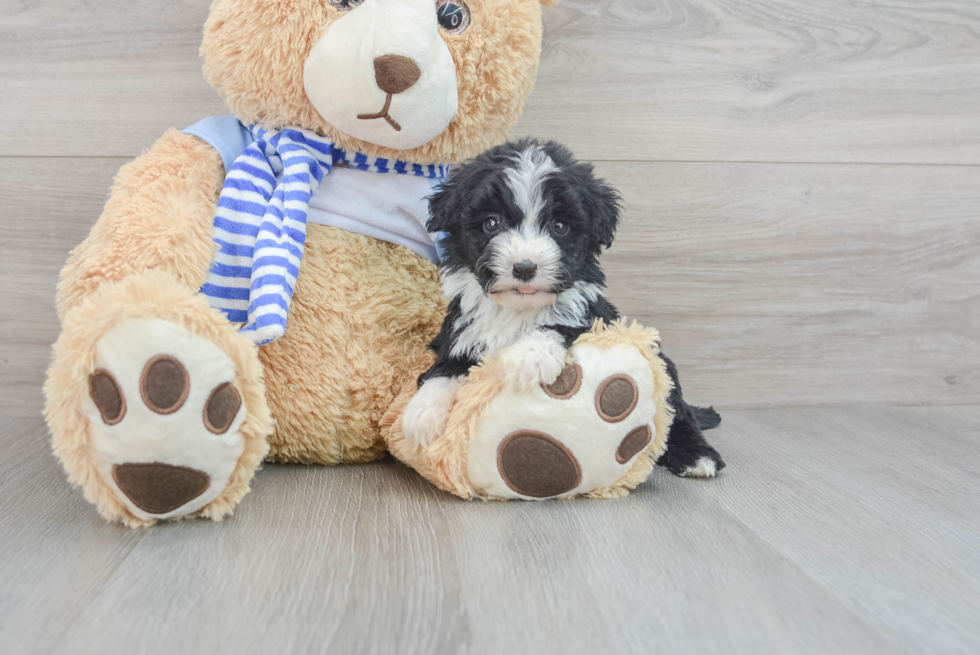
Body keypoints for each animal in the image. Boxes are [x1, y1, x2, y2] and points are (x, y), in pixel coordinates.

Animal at [400, 141, 728, 480]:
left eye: (559, 226)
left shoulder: (594, 318)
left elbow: (560, 324)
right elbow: (444, 369)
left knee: (677, 412)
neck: (518, 310)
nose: (525, 268)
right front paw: (422, 414)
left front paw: (527, 357)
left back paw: (696, 455)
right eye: (492, 223)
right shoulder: (461, 333)